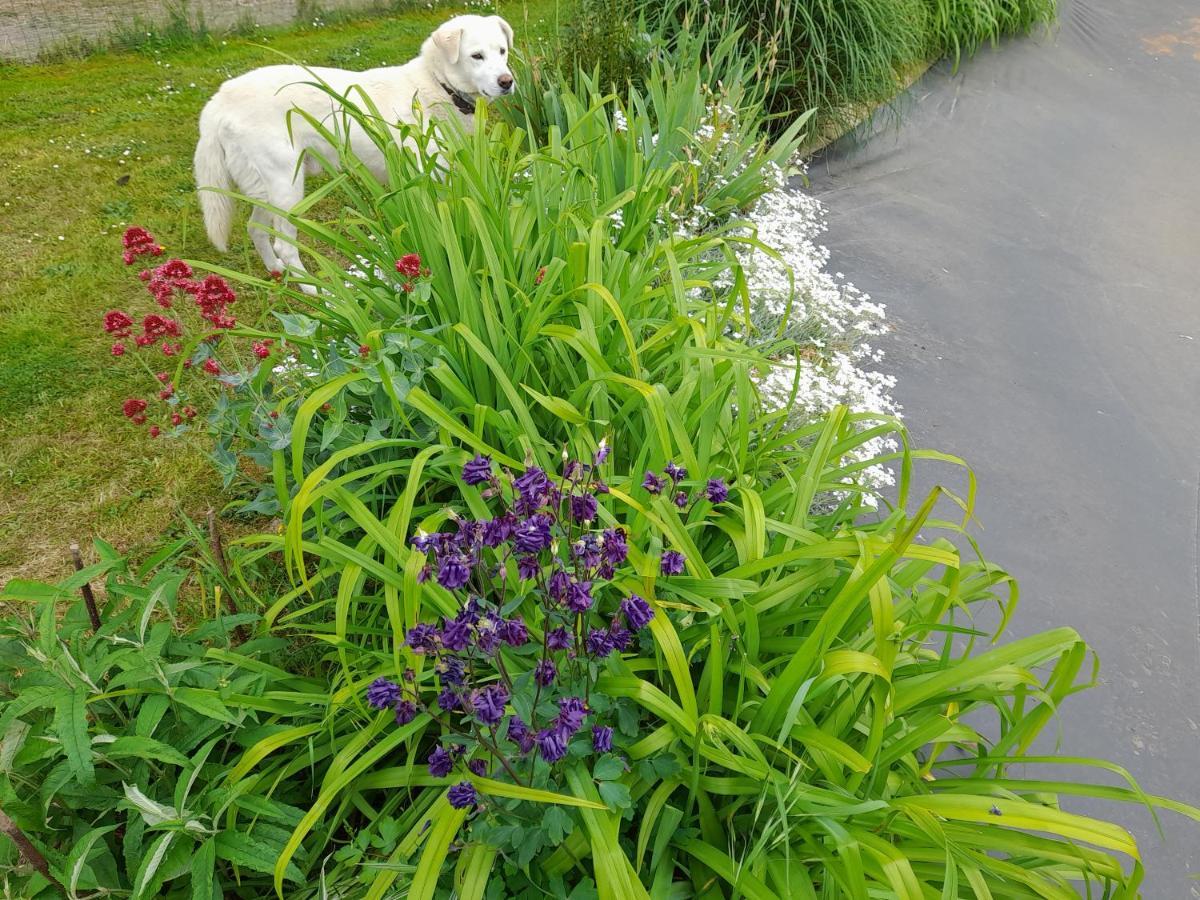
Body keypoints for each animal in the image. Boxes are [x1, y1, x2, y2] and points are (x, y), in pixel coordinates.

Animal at [194, 14, 513, 282]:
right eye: (476, 56)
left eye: (502, 51)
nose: (507, 82)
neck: (437, 84)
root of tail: (219, 99)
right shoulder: (425, 177)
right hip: (287, 187)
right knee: (284, 245)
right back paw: (322, 296)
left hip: (265, 191)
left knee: (256, 229)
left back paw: (277, 274)